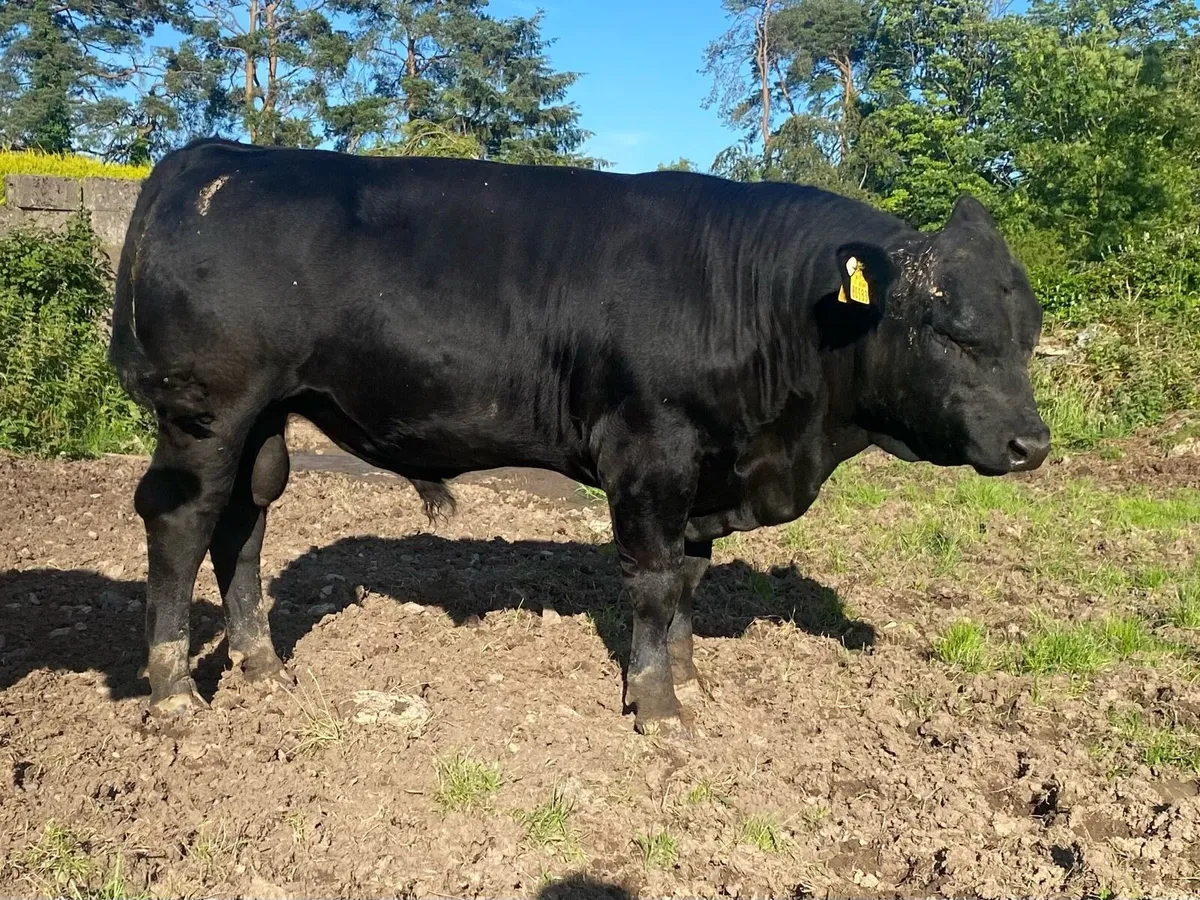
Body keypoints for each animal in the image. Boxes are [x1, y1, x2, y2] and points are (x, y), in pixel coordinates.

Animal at [108, 138, 1049, 734]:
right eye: (951, 331)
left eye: (1031, 331)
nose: (1031, 446)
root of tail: (219, 154)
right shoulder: (652, 451)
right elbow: (652, 579)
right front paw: (658, 707)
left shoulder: (705, 474)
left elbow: (689, 580)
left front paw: (689, 679)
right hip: (207, 412)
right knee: (183, 522)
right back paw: (173, 697)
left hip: (265, 421)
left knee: (244, 524)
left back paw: (262, 666)